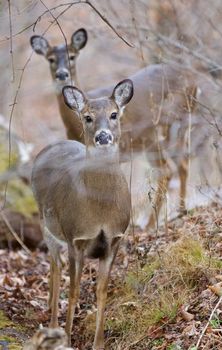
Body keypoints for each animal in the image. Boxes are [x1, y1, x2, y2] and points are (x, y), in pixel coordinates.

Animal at [29, 30, 198, 230]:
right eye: (50, 59)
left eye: (72, 56)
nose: (62, 74)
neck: (74, 126)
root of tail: (193, 79)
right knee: (182, 164)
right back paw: (180, 211)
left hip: (157, 133)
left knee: (167, 170)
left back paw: (151, 224)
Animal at [31, 78, 134, 348]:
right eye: (88, 117)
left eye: (114, 114)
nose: (103, 135)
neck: (100, 212)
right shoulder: (75, 237)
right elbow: (74, 289)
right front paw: (67, 338)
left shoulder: (114, 240)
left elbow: (101, 291)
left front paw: (99, 342)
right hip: (47, 225)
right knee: (56, 269)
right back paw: (53, 324)